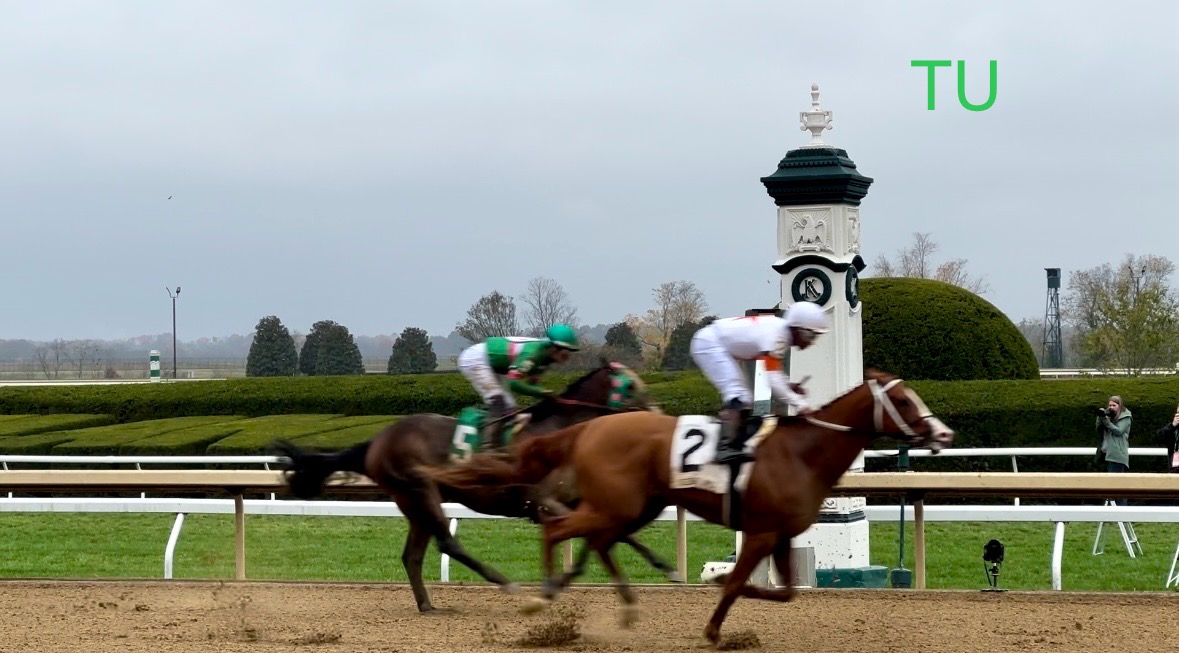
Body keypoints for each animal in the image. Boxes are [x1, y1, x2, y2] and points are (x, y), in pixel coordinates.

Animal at [268, 358, 683, 612]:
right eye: (632, 385)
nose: (659, 414)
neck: (559, 434)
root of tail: (376, 442)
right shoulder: (544, 500)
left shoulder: (579, 500)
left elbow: (616, 531)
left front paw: (666, 566)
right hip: (421, 491)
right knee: (448, 543)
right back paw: (506, 584)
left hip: (413, 503)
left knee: (412, 555)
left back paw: (428, 604)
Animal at [419, 367, 952, 641]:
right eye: (905, 401)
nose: (944, 433)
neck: (801, 452)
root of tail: (587, 427)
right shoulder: (760, 532)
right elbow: (736, 583)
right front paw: (714, 623)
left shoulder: (781, 534)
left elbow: (783, 592)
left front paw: (717, 594)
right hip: (618, 505)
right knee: (560, 530)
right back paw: (542, 595)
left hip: (637, 507)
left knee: (601, 541)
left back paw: (623, 604)